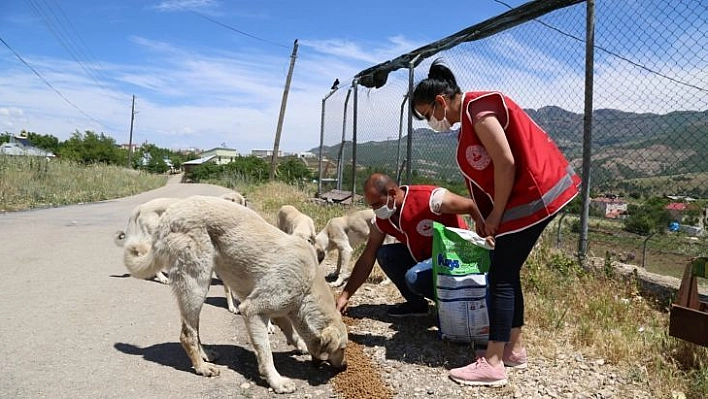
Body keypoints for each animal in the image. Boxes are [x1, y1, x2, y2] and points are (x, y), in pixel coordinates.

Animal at [121, 197, 348, 394]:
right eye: (342, 348)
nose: (345, 366)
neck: (308, 285)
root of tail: (170, 213)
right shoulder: (251, 310)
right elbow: (266, 353)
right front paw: (276, 381)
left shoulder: (280, 309)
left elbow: (290, 331)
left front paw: (300, 345)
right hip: (196, 284)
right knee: (187, 334)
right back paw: (201, 367)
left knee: (194, 329)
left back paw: (206, 355)